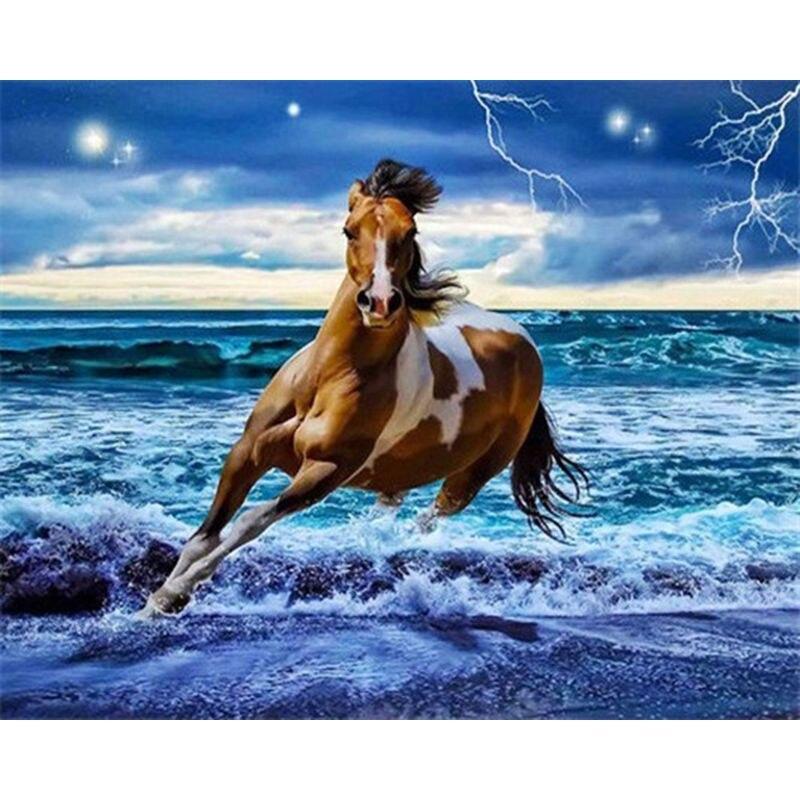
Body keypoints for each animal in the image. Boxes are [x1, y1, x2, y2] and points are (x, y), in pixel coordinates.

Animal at [142, 159, 588, 617]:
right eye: (348, 230)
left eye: (410, 231)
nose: (380, 302)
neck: (327, 379)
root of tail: (526, 345)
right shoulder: (247, 452)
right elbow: (203, 537)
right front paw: (151, 605)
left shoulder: (326, 470)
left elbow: (250, 521)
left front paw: (171, 595)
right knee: (391, 507)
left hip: (473, 474)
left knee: (429, 518)